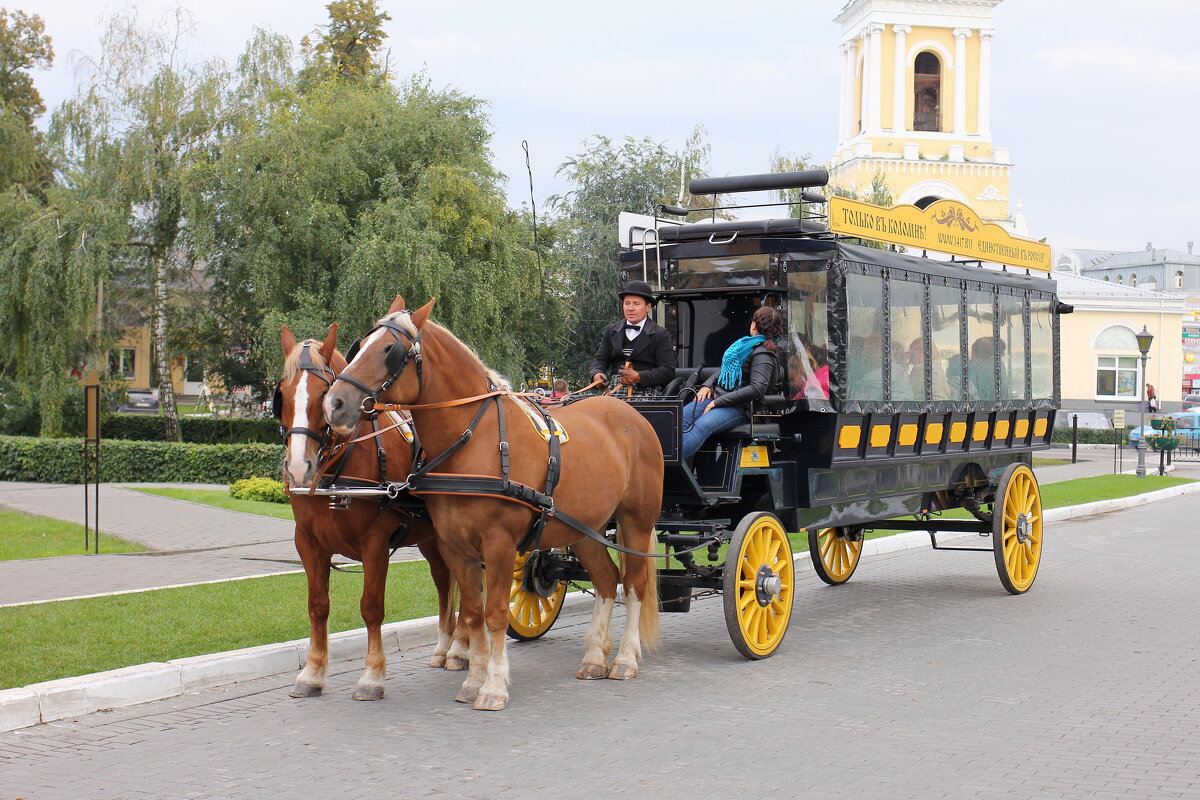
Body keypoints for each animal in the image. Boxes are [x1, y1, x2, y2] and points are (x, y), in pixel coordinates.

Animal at [277, 321, 468, 700]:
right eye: (282, 394)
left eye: (323, 393)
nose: (299, 467)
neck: (338, 475)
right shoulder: (307, 542)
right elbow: (317, 606)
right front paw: (312, 673)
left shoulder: (375, 542)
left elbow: (371, 607)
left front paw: (372, 676)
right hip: (432, 539)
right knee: (444, 582)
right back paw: (444, 648)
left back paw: (460, 650)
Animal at [321, 299, 667, 714]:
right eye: (361, 345)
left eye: (390, 350)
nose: (334, 403)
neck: (474, 441)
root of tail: (631, 414)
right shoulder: (454, 546)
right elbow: (472, 614)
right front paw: (473, 679)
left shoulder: (499, 544)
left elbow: (496, 613)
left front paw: (494, 686)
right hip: (586, 528)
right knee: (605, 579)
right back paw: (595, 657)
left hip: (636, 522)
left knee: (633, 585)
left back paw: (626, 659)